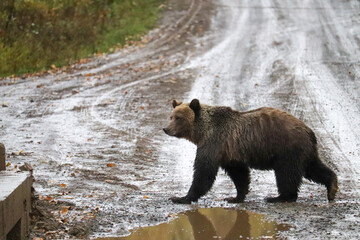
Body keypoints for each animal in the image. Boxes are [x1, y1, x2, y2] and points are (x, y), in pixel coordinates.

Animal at [165, 98, 338, 203]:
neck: (201, 132)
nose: (166, 129)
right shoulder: (230, 152)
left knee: (286, 174)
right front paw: (236, 197)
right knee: (313, 168)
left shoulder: (214, 143)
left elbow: (204, 172)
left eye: (179, 118)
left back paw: (279, 197)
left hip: (287, 149)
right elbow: (239, 174)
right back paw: (332, 187)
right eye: (171, 116)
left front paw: (181, 197)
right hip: (303, 151)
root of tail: (309, 130)